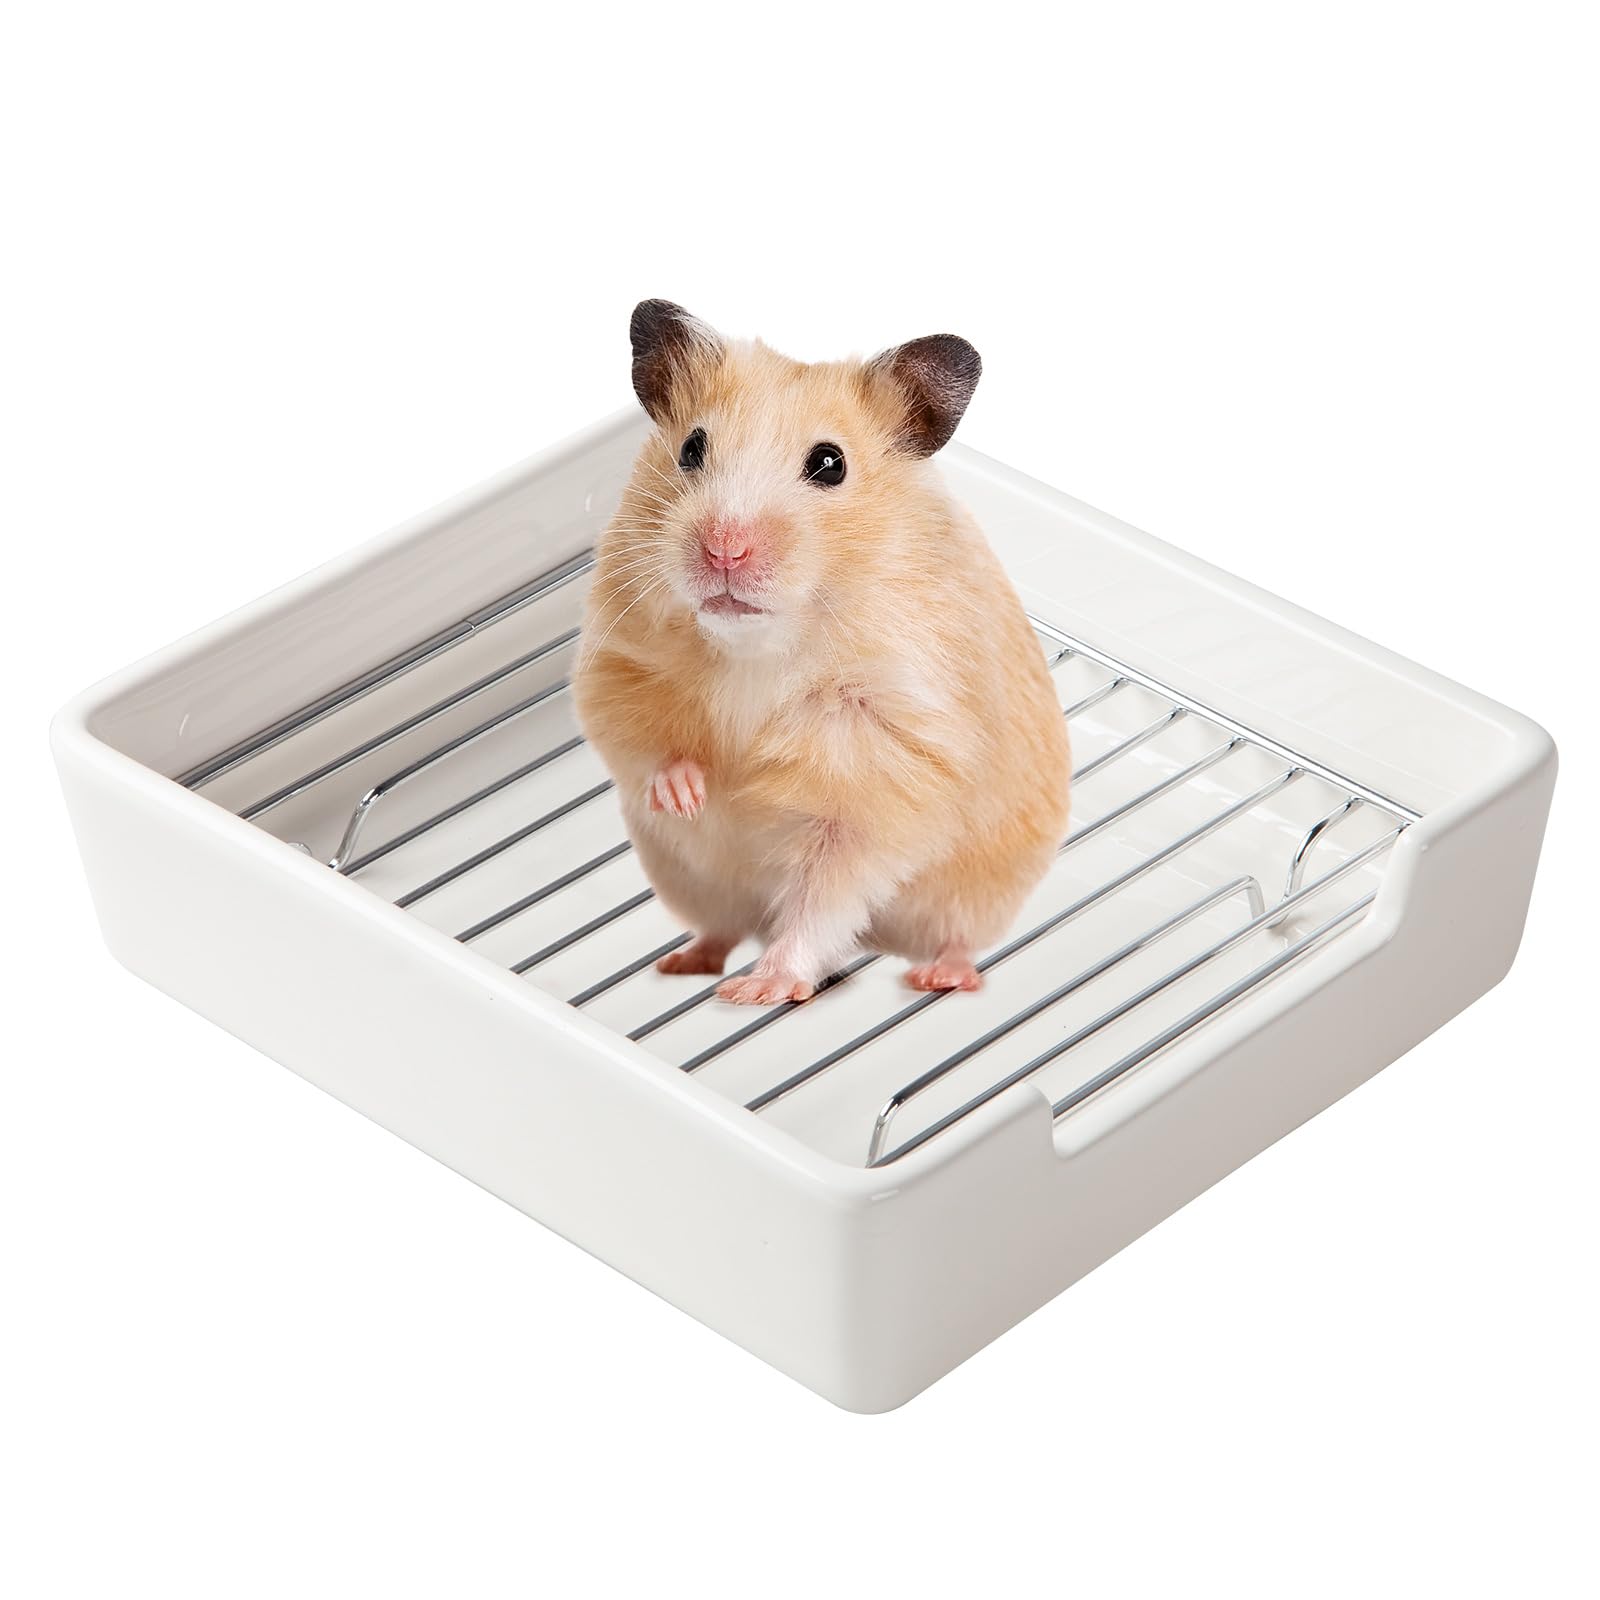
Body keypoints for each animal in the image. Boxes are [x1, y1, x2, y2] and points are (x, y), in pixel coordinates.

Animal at [571, 300, 1071, 1005]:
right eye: (692, 447)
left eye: (830, 463)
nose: (724, 550)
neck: (758, 648)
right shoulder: (618, 659)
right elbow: (642, 742)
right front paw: (689, 795)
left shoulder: (879, 777)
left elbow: (821, 898)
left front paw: (761, 990)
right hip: (689, 878)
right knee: (721, 929)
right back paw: (682, 963)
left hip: (979, 892)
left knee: (951, 938)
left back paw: (938, 977)